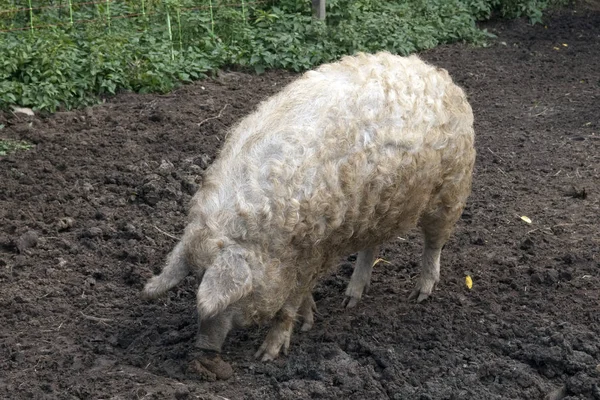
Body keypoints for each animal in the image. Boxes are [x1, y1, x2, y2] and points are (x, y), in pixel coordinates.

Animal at [143, 51, 476, 360]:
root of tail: (437, 74)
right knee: (371, 247)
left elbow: (287, 305)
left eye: (236, 296)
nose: (204, 348)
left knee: (433, 244)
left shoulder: (312, 253)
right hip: (378, 208)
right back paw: (349, 299)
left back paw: (420, 295)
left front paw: (267, 355)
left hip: (452, 189)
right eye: (195, 278)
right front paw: (308, 321)